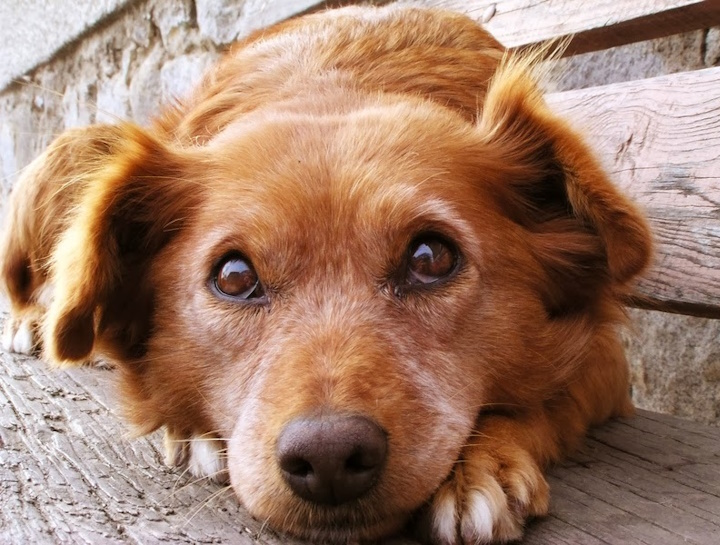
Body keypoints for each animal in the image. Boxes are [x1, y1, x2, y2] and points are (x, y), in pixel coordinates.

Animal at [0, 5, 652, 544]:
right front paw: (191, 427)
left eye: (430, 258)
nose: (329, 459)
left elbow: (546, 395)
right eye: (232, 276)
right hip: (72, 151)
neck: (336, 81)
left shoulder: (605, 356)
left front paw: (480, 468)